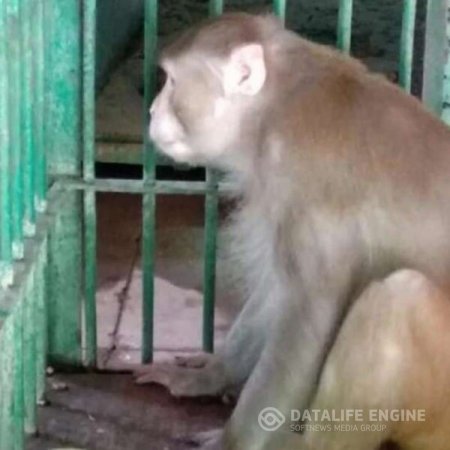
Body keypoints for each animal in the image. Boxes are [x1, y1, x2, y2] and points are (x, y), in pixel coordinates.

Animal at [137, 12, 450, 448]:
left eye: (170, 81)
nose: (151, 110)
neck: (274, 106)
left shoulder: (304, 182)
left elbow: (306, 313)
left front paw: (232, 441)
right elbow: (277, 288)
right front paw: (207, 377)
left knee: (400, 296)